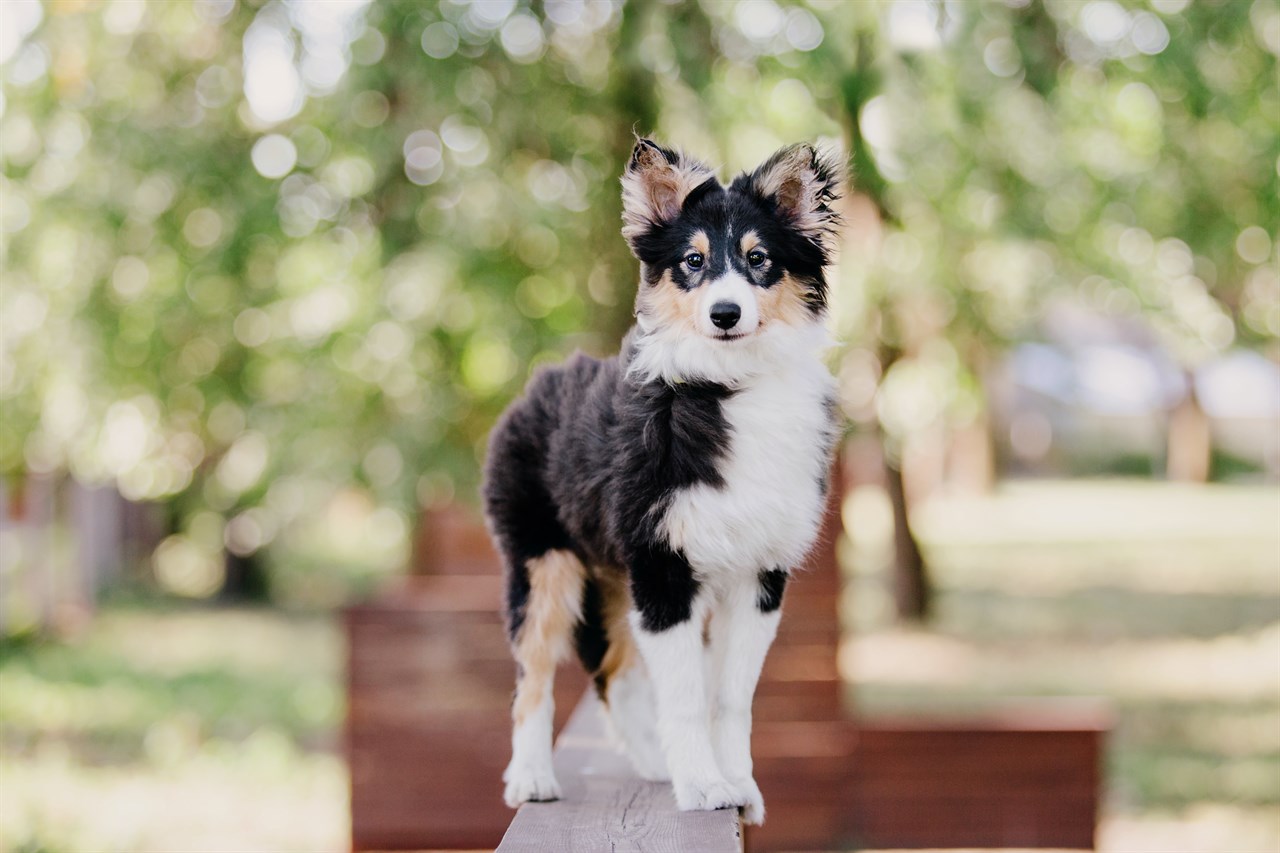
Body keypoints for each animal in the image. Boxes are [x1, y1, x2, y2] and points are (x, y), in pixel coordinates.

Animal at [483, 139, 844, 824]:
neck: (728, 387)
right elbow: (683, 694)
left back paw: (654, 763)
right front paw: (703, 787)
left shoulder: (758, 576)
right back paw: (532, 777)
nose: (725, 313)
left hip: (613, 577)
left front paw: (737, 785)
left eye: (758, 259)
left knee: (615, 674)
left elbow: (728, 696)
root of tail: (534, 387)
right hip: (544, 565)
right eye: (693, 261)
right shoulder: (663, 566)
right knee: (532, 678)